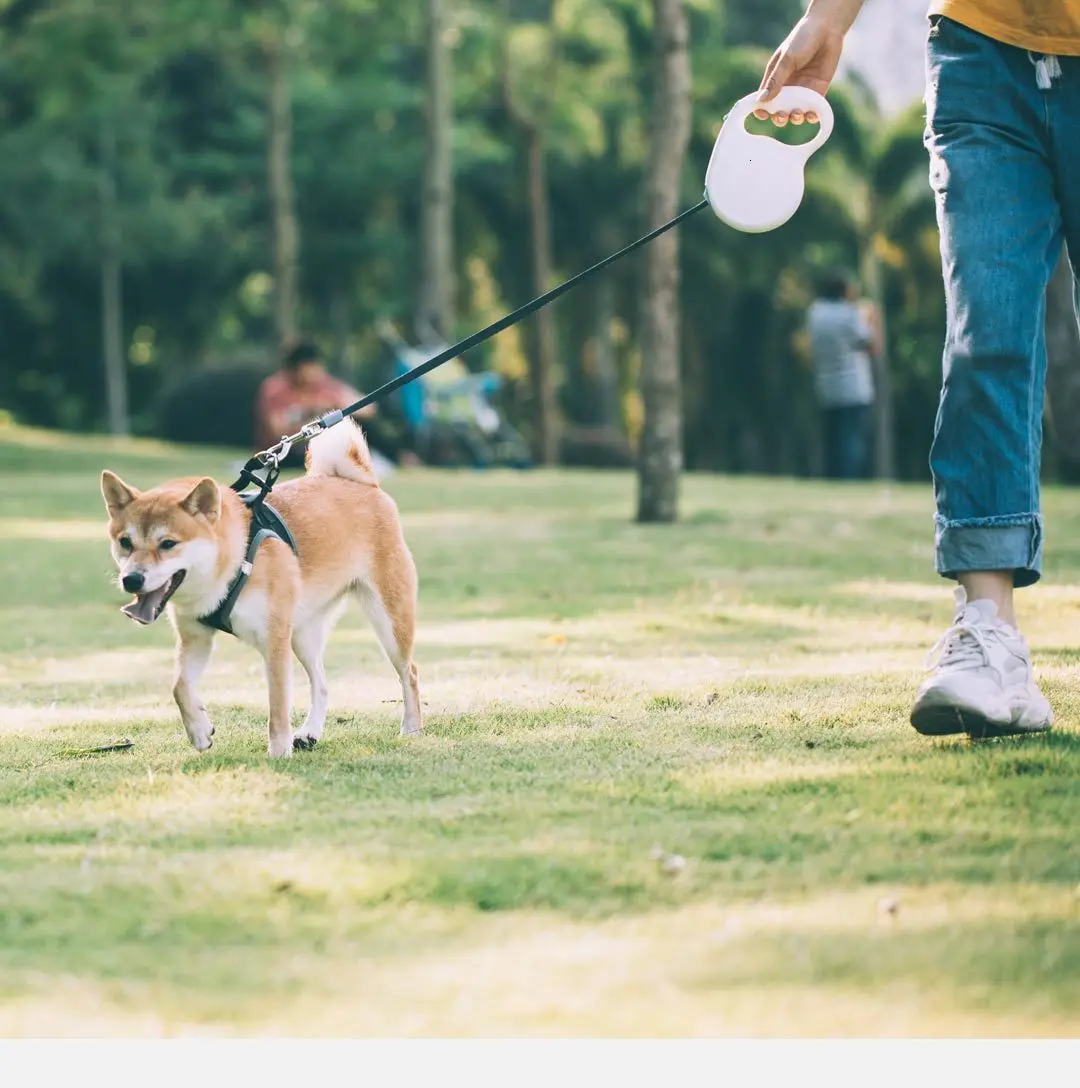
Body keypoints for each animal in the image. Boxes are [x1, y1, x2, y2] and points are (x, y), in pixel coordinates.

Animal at [100, 419, 421, 761]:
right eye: (125, 542)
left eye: (168, 544)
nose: (131, 579)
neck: (233, 561)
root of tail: (364, 484)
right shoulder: (196, 638)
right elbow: (180, 687)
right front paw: (200, 731)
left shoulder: (274, 641)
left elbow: (277, 709)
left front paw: (278, 753)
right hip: (303, 634)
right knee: (322, 684)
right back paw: (309, 733)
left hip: (388, 623)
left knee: (410, 673)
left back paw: (412, 728)